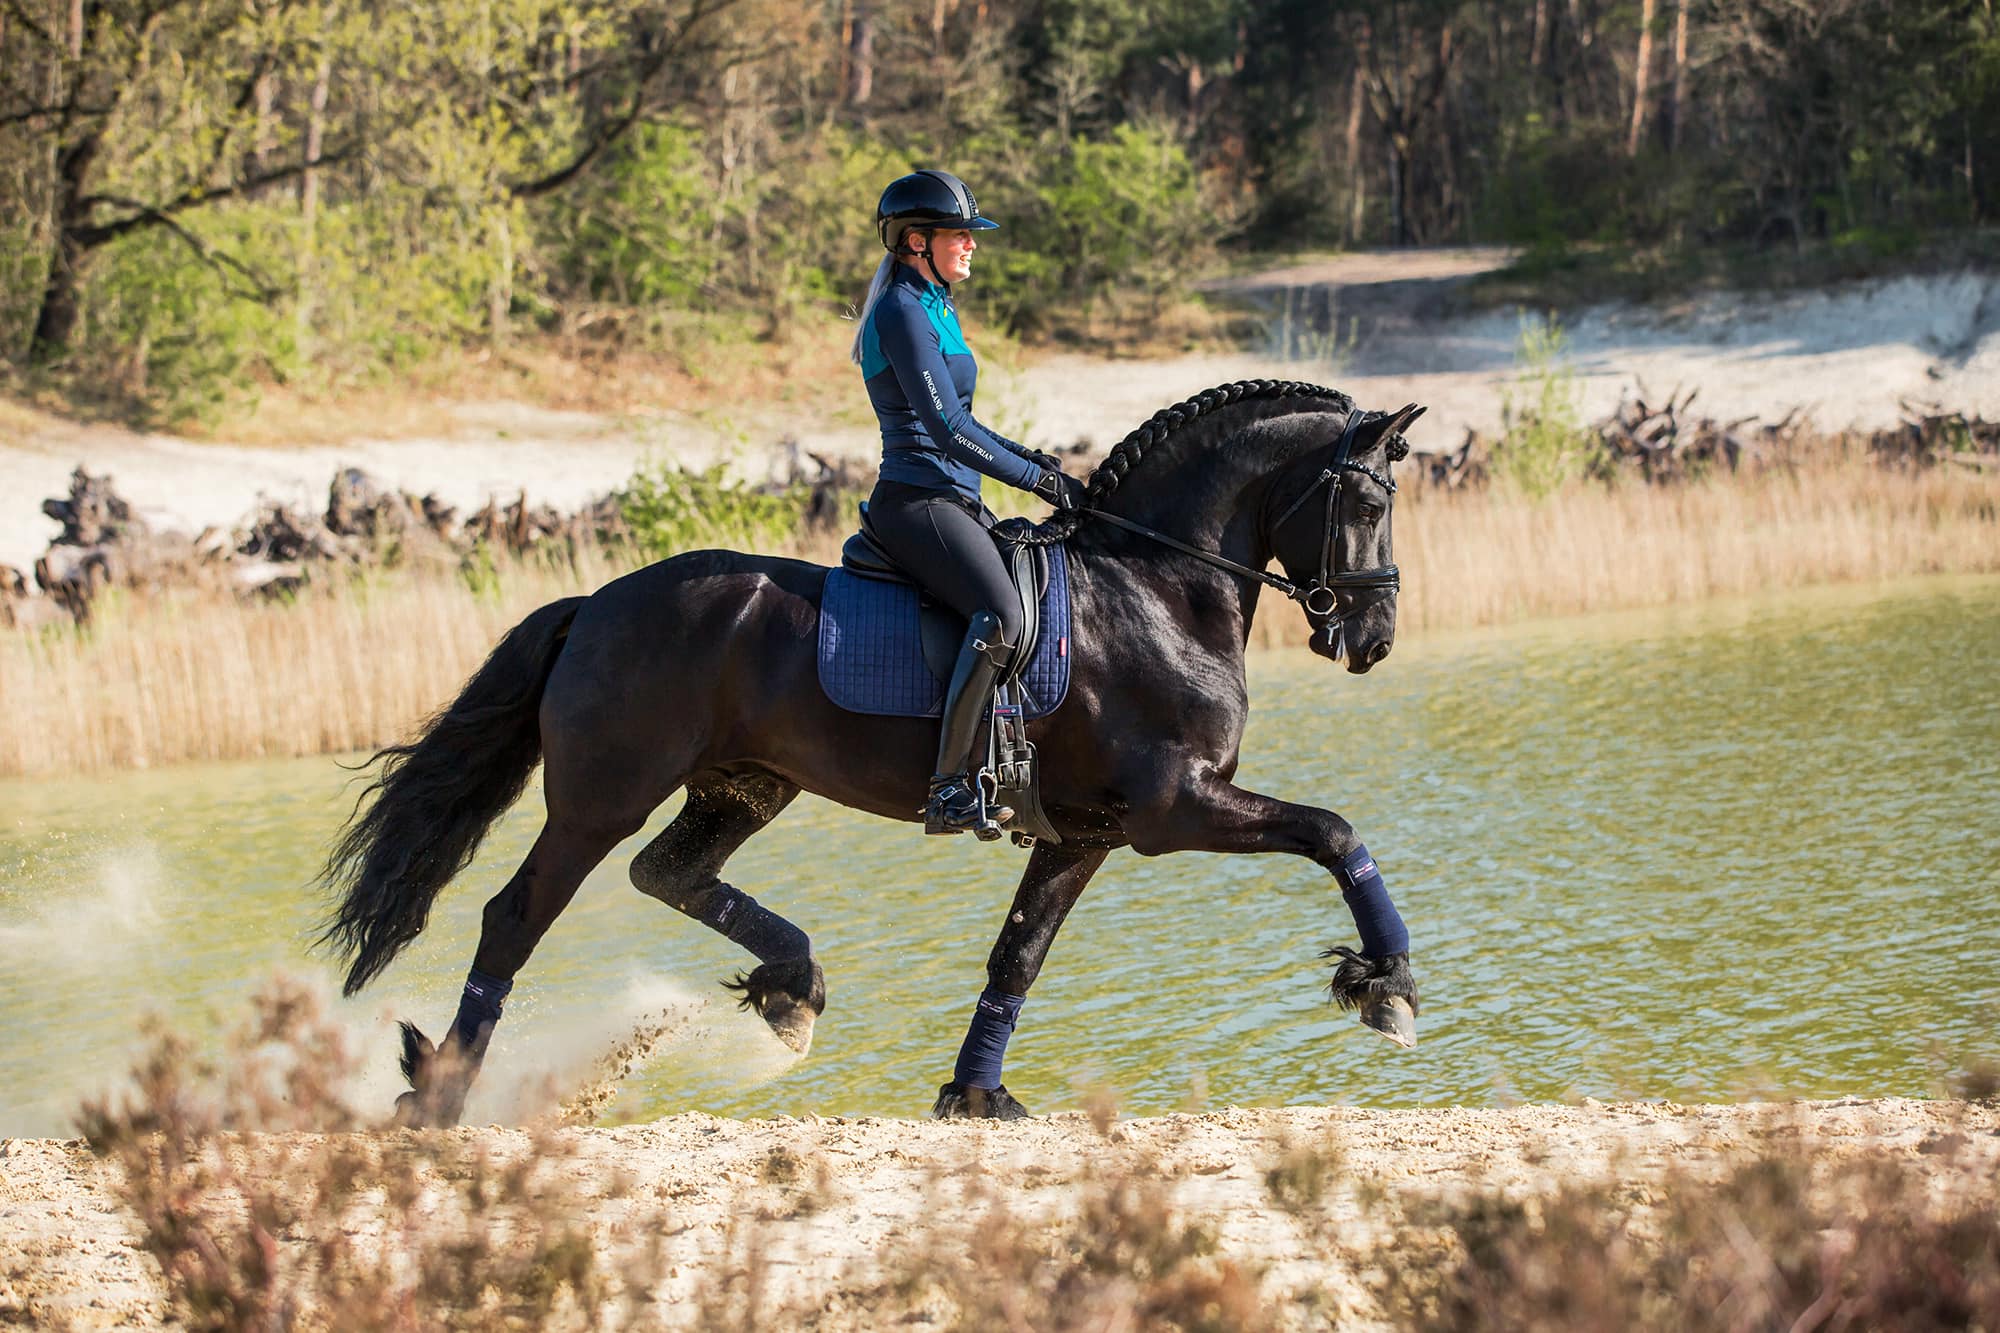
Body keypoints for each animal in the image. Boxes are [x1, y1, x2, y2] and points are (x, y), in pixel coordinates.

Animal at [324, 376, 1424, 1120]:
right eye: (1368, 505)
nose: (1373, 641)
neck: (1155, 585)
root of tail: (594, 601)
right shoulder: (1173, 806)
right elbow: (1334, 832)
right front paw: (1387, 985)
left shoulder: (1086, 833)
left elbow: (1017, 954)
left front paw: (976, 1095)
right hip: (601, 797)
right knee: (516, 918)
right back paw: (441, 1096)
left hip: (744, 785)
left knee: (669, 872)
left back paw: (792, 986)